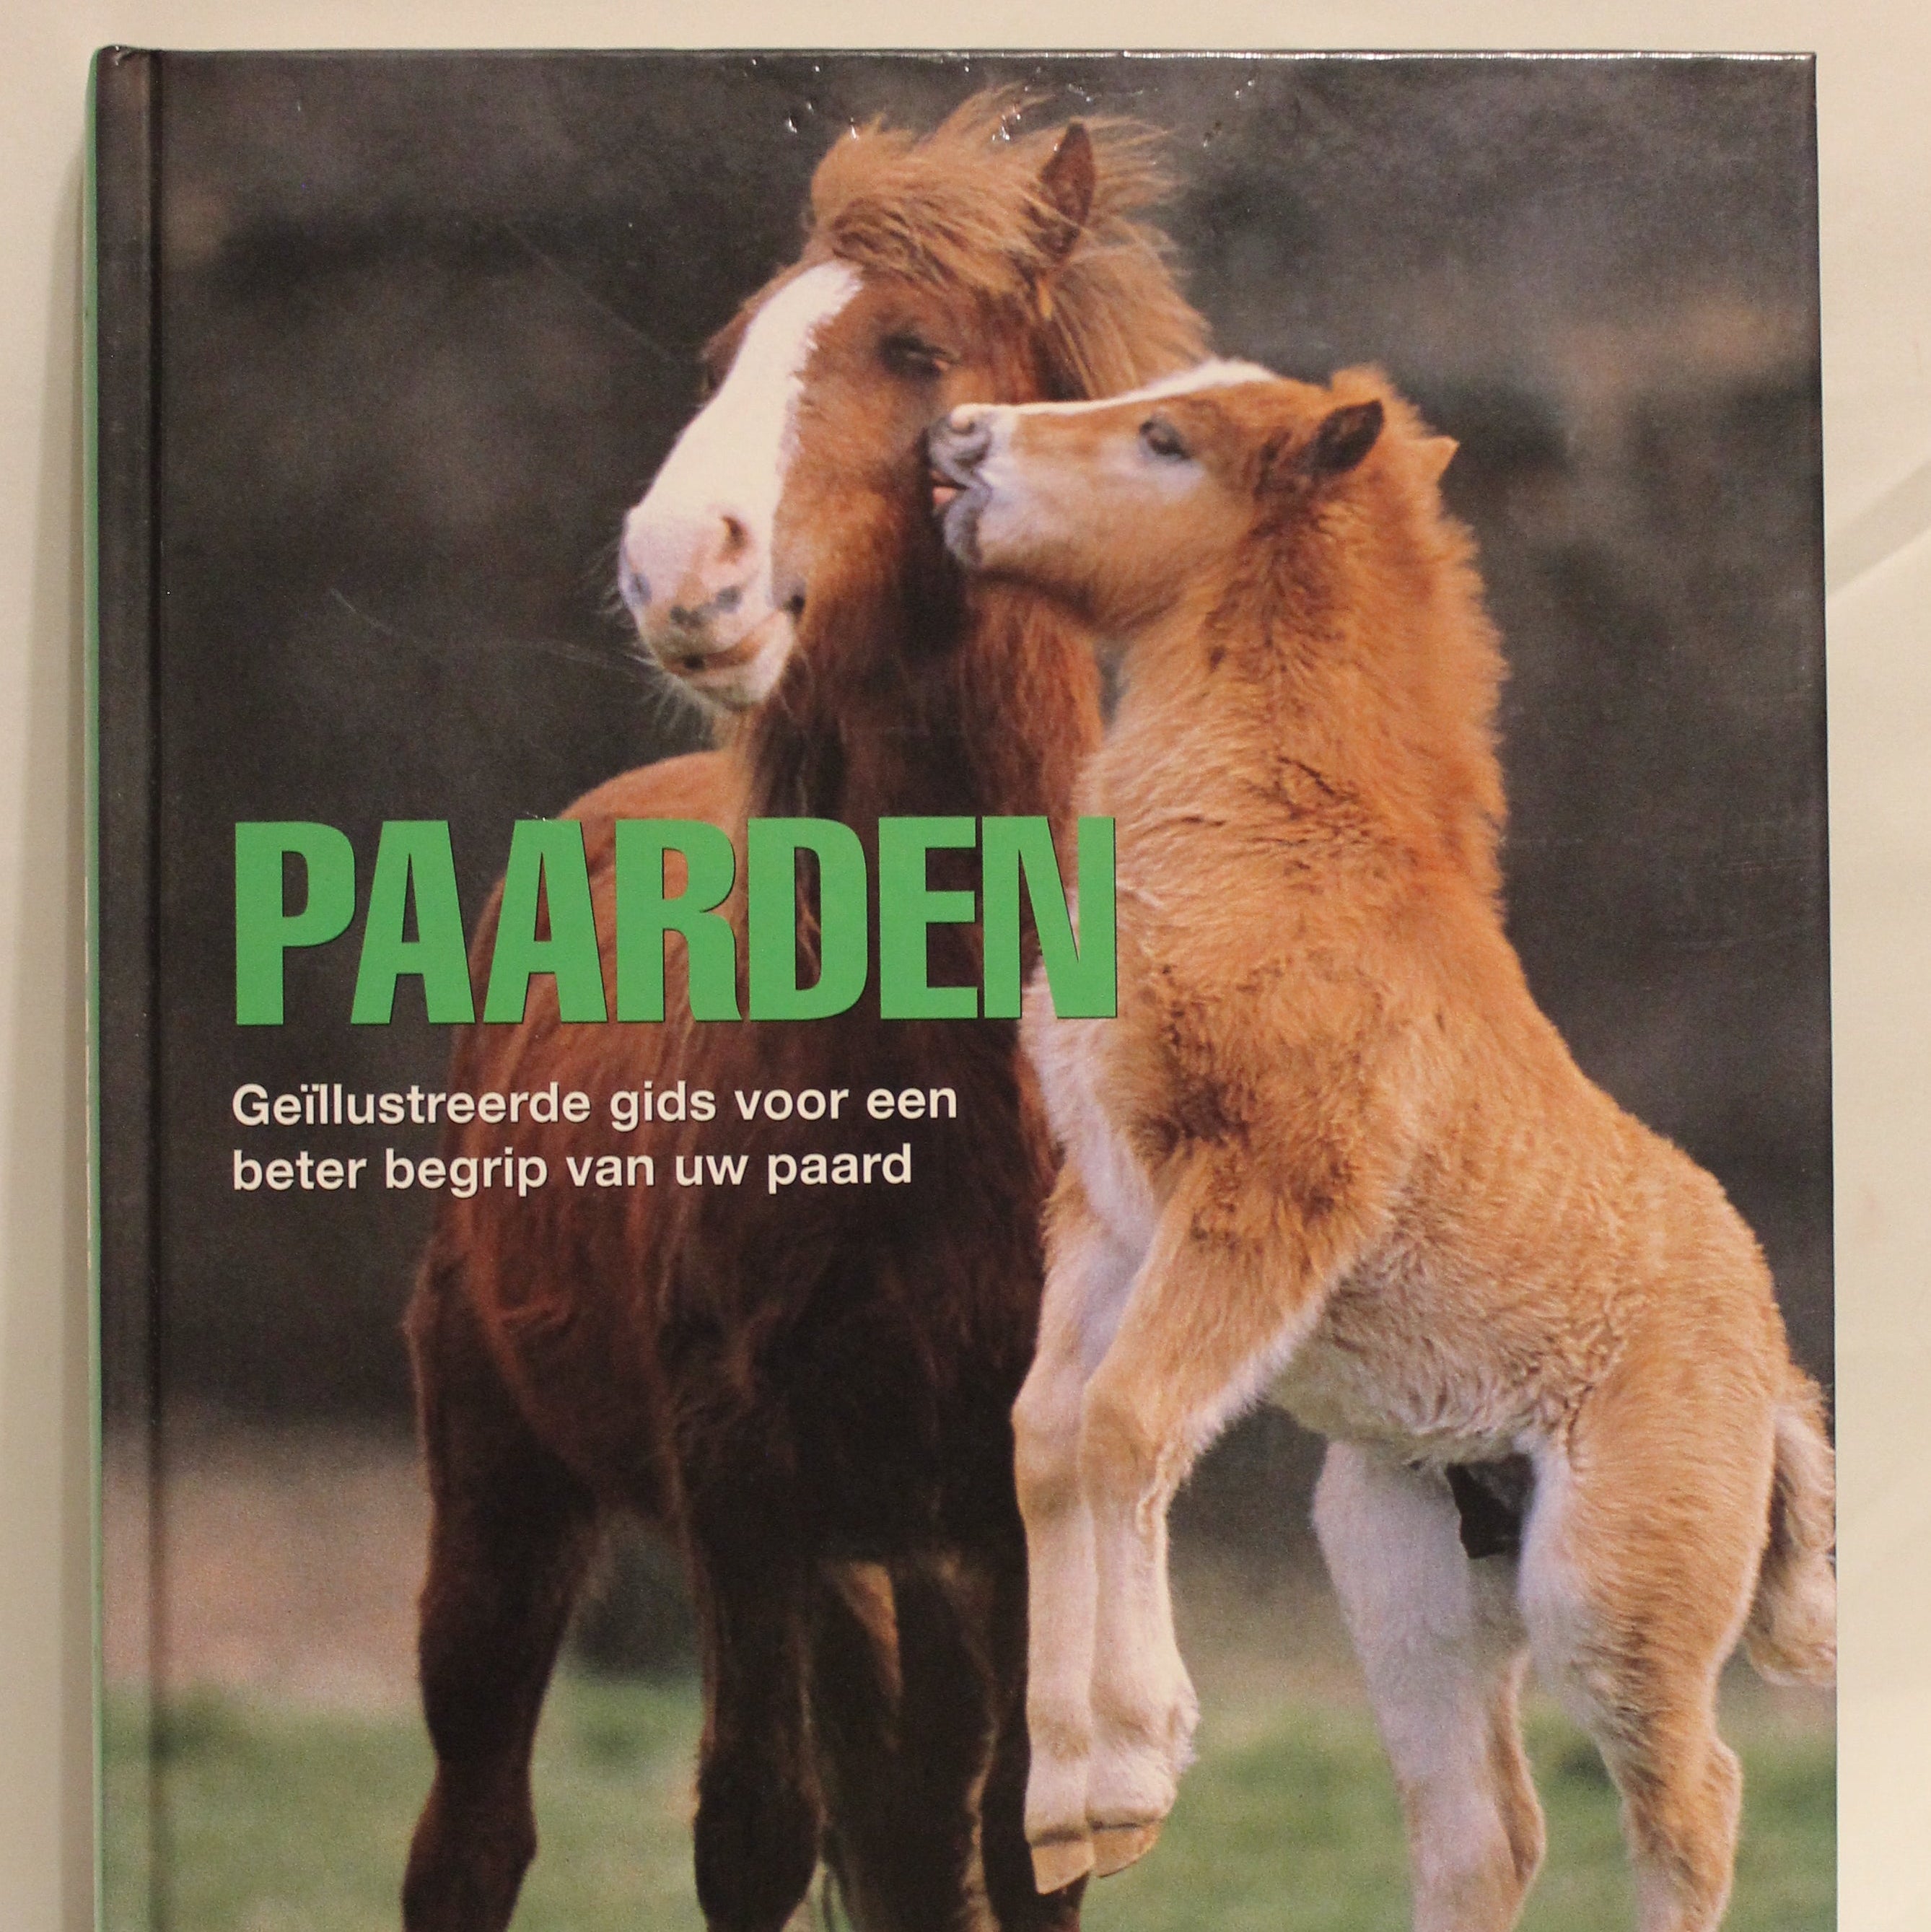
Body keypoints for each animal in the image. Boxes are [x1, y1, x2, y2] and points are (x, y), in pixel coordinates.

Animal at [399, 95, 1207, 1932]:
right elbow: (752, 1832)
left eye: (914, 349)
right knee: (471, 1827)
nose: (678, 563)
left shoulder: (1011, 1513)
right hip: (505, 1487)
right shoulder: (743, 1489)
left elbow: (1020, 1852)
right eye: (726, 354)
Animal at [928, 363, 1836, 1931]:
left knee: (1694, 1799)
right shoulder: (1105, 1208)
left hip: (1610, 1585)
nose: (961, 439)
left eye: (1165, 440)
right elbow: (1048, 1437)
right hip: (1401, 1571)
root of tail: (1771, 1365)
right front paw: (1060, 1809)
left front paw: (1134, 1775)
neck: (1276, 841)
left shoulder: (1270, 1187)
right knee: (1485, 1832)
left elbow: (1127, 1423)